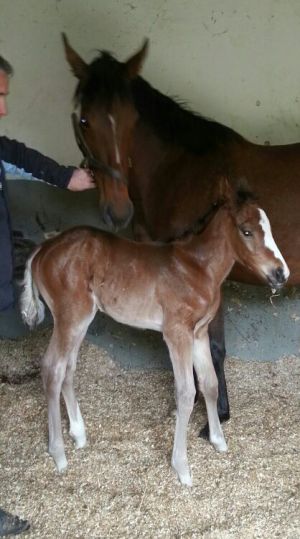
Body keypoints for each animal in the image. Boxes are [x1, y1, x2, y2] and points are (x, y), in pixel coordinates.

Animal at [20, 179, 288, 488]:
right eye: (246, 231)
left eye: (269, 228)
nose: (281, 274)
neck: (197, 268)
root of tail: (44, 248)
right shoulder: (177, 333)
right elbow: (186, 392)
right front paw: (182, 468)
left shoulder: (199, 333)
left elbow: (209, 383)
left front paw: (218, 441)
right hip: (70, 317)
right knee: (52, 368)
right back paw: (59, 454)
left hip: (80, 319)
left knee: (68, 368)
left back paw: (79, 434)